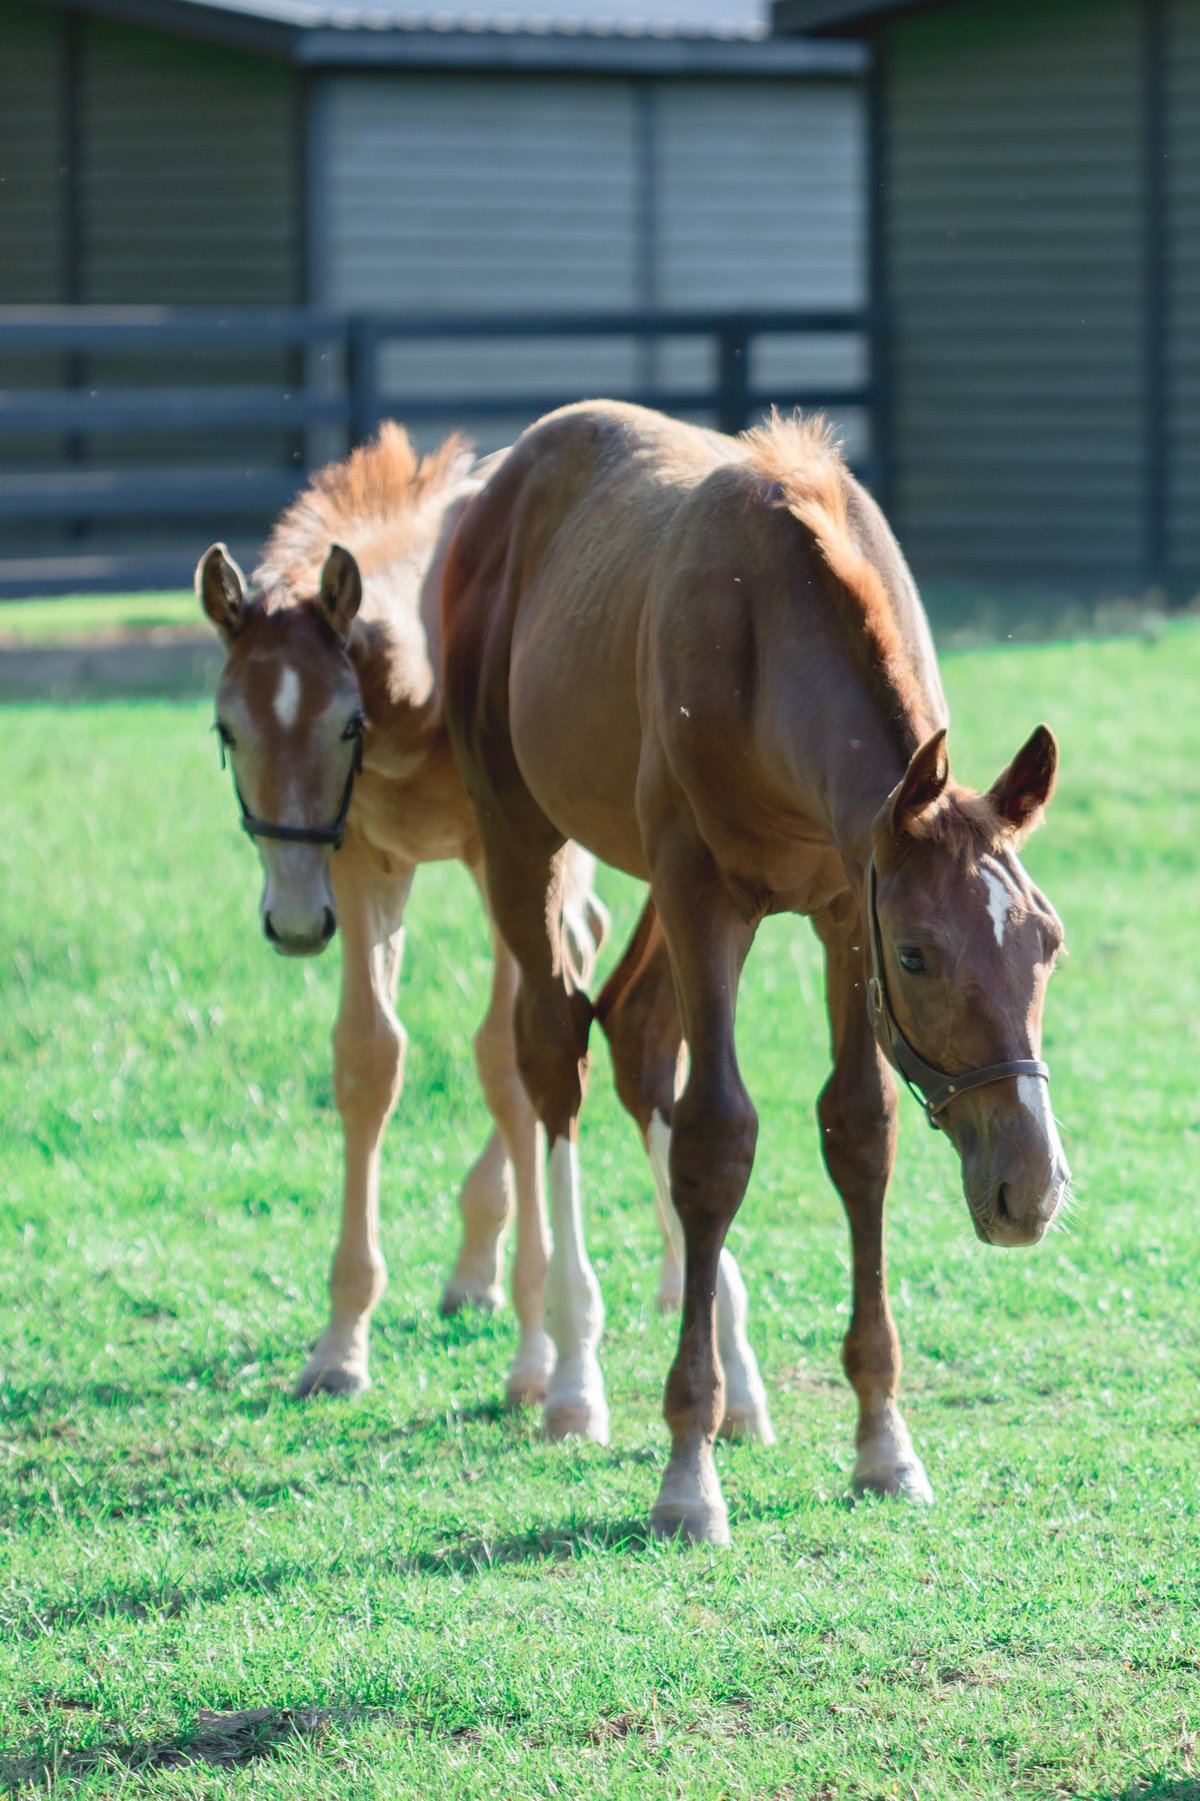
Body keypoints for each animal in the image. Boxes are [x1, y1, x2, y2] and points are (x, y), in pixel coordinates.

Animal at [200, 425, 609, 1404]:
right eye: (227, 731)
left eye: (347, 724)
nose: (294, 924)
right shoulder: (358, 863)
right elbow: (368, 1059)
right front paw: (340, 1343)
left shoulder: (505, 857)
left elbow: (505, 1056)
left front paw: (537, 1357)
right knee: (591, 948)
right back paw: (473, 1266)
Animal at [441, 401, 1066, 1541]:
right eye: (921, 953)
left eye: (1047, 940)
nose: (1029, 1187)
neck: (766, 639)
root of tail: (506, 476)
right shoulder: (706, 896)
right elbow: (717, 1139)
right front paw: (686, 1470)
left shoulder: (842, 907)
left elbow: (859, 1129)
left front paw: (883, 1440)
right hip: (522, 838)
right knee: (554, 1055)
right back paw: (567, 1372)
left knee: (635, 1030)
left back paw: (734, 1382)